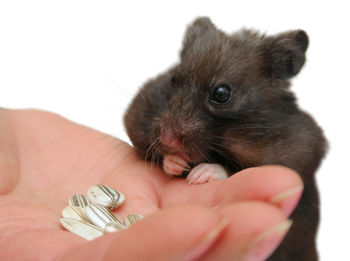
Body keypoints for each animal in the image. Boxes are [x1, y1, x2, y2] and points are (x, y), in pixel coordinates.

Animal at [123, 16, 328, 260]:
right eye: (173, 79)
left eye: (221, 93)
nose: (167, 140)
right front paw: (175, 162)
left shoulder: (300, 151)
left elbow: (233, 168)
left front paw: (200, 174)